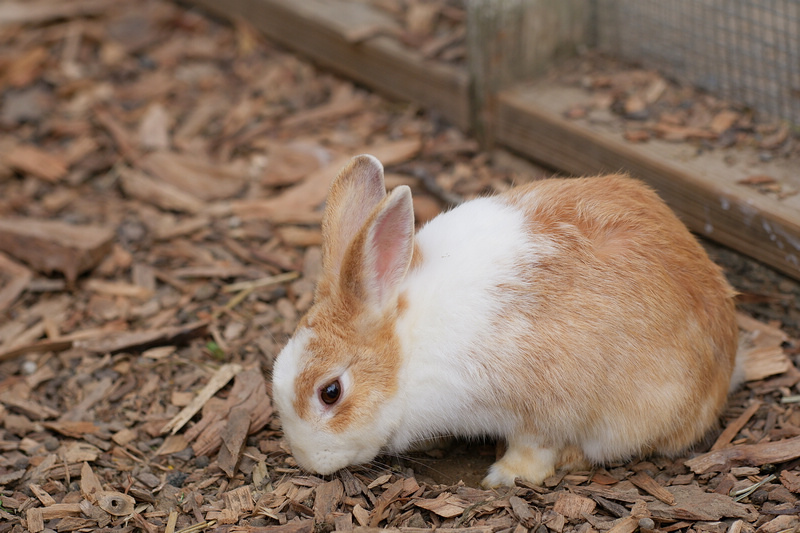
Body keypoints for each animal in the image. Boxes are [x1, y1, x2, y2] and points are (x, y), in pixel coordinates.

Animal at [272, 153, 740, 486]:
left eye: (330, 392)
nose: (309, 463)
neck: (407, 349)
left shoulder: (543, 405)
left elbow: (535, 448)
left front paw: (504, 477)